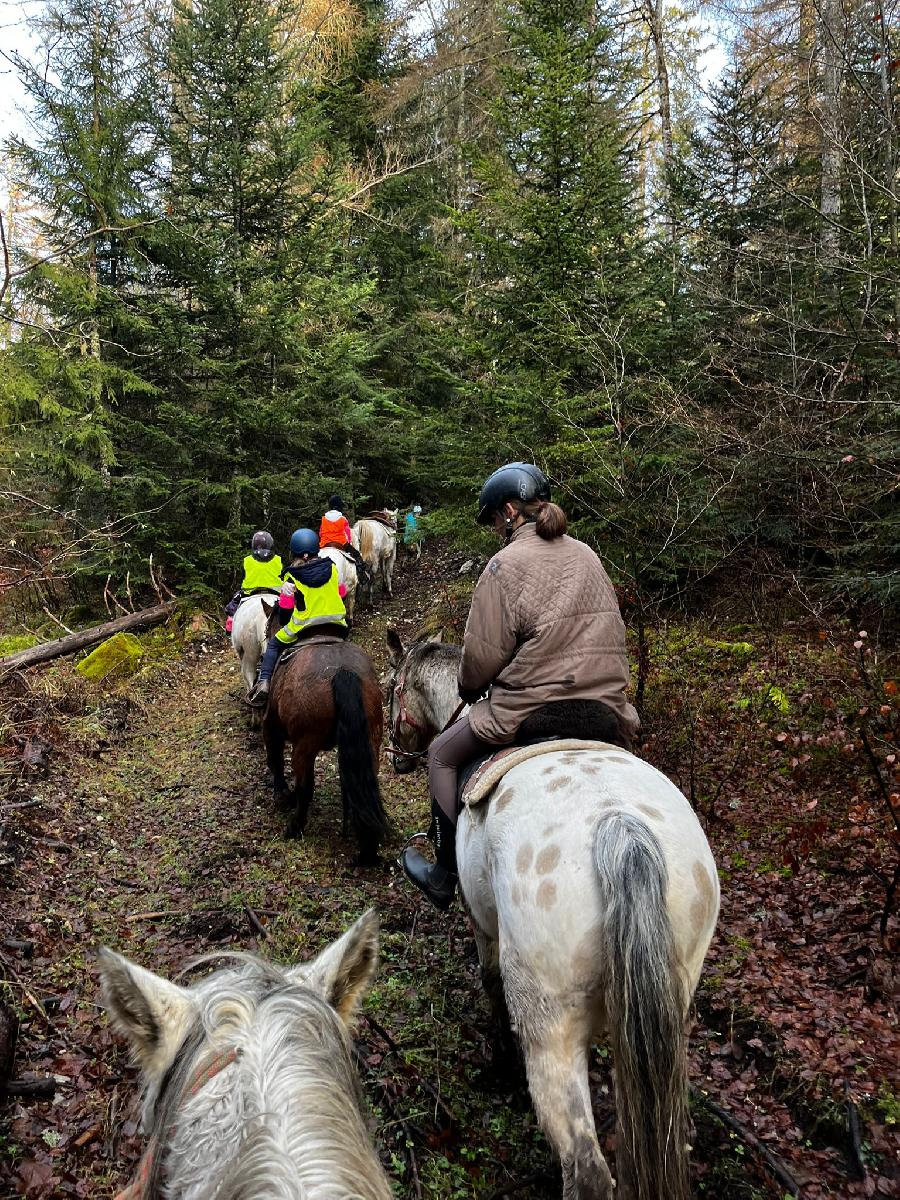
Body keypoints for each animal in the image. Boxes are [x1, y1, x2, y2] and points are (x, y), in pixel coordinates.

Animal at [260, 609, 388, 864]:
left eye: (267, 627)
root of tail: (342, 672)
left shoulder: (271, 726)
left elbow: (275, 759)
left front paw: (282, 795)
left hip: (305, 745)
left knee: (305, 786)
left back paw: (295, 827)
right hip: (371, 739)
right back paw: (367, 847)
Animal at [384, 628, 724, 1200]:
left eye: (392, 689)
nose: (395, 757)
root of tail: (621, 829)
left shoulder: (484, 925)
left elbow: (490, 980)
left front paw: (499, 1060)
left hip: (550, 1025)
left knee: (585, 1167)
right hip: (665, 1012)